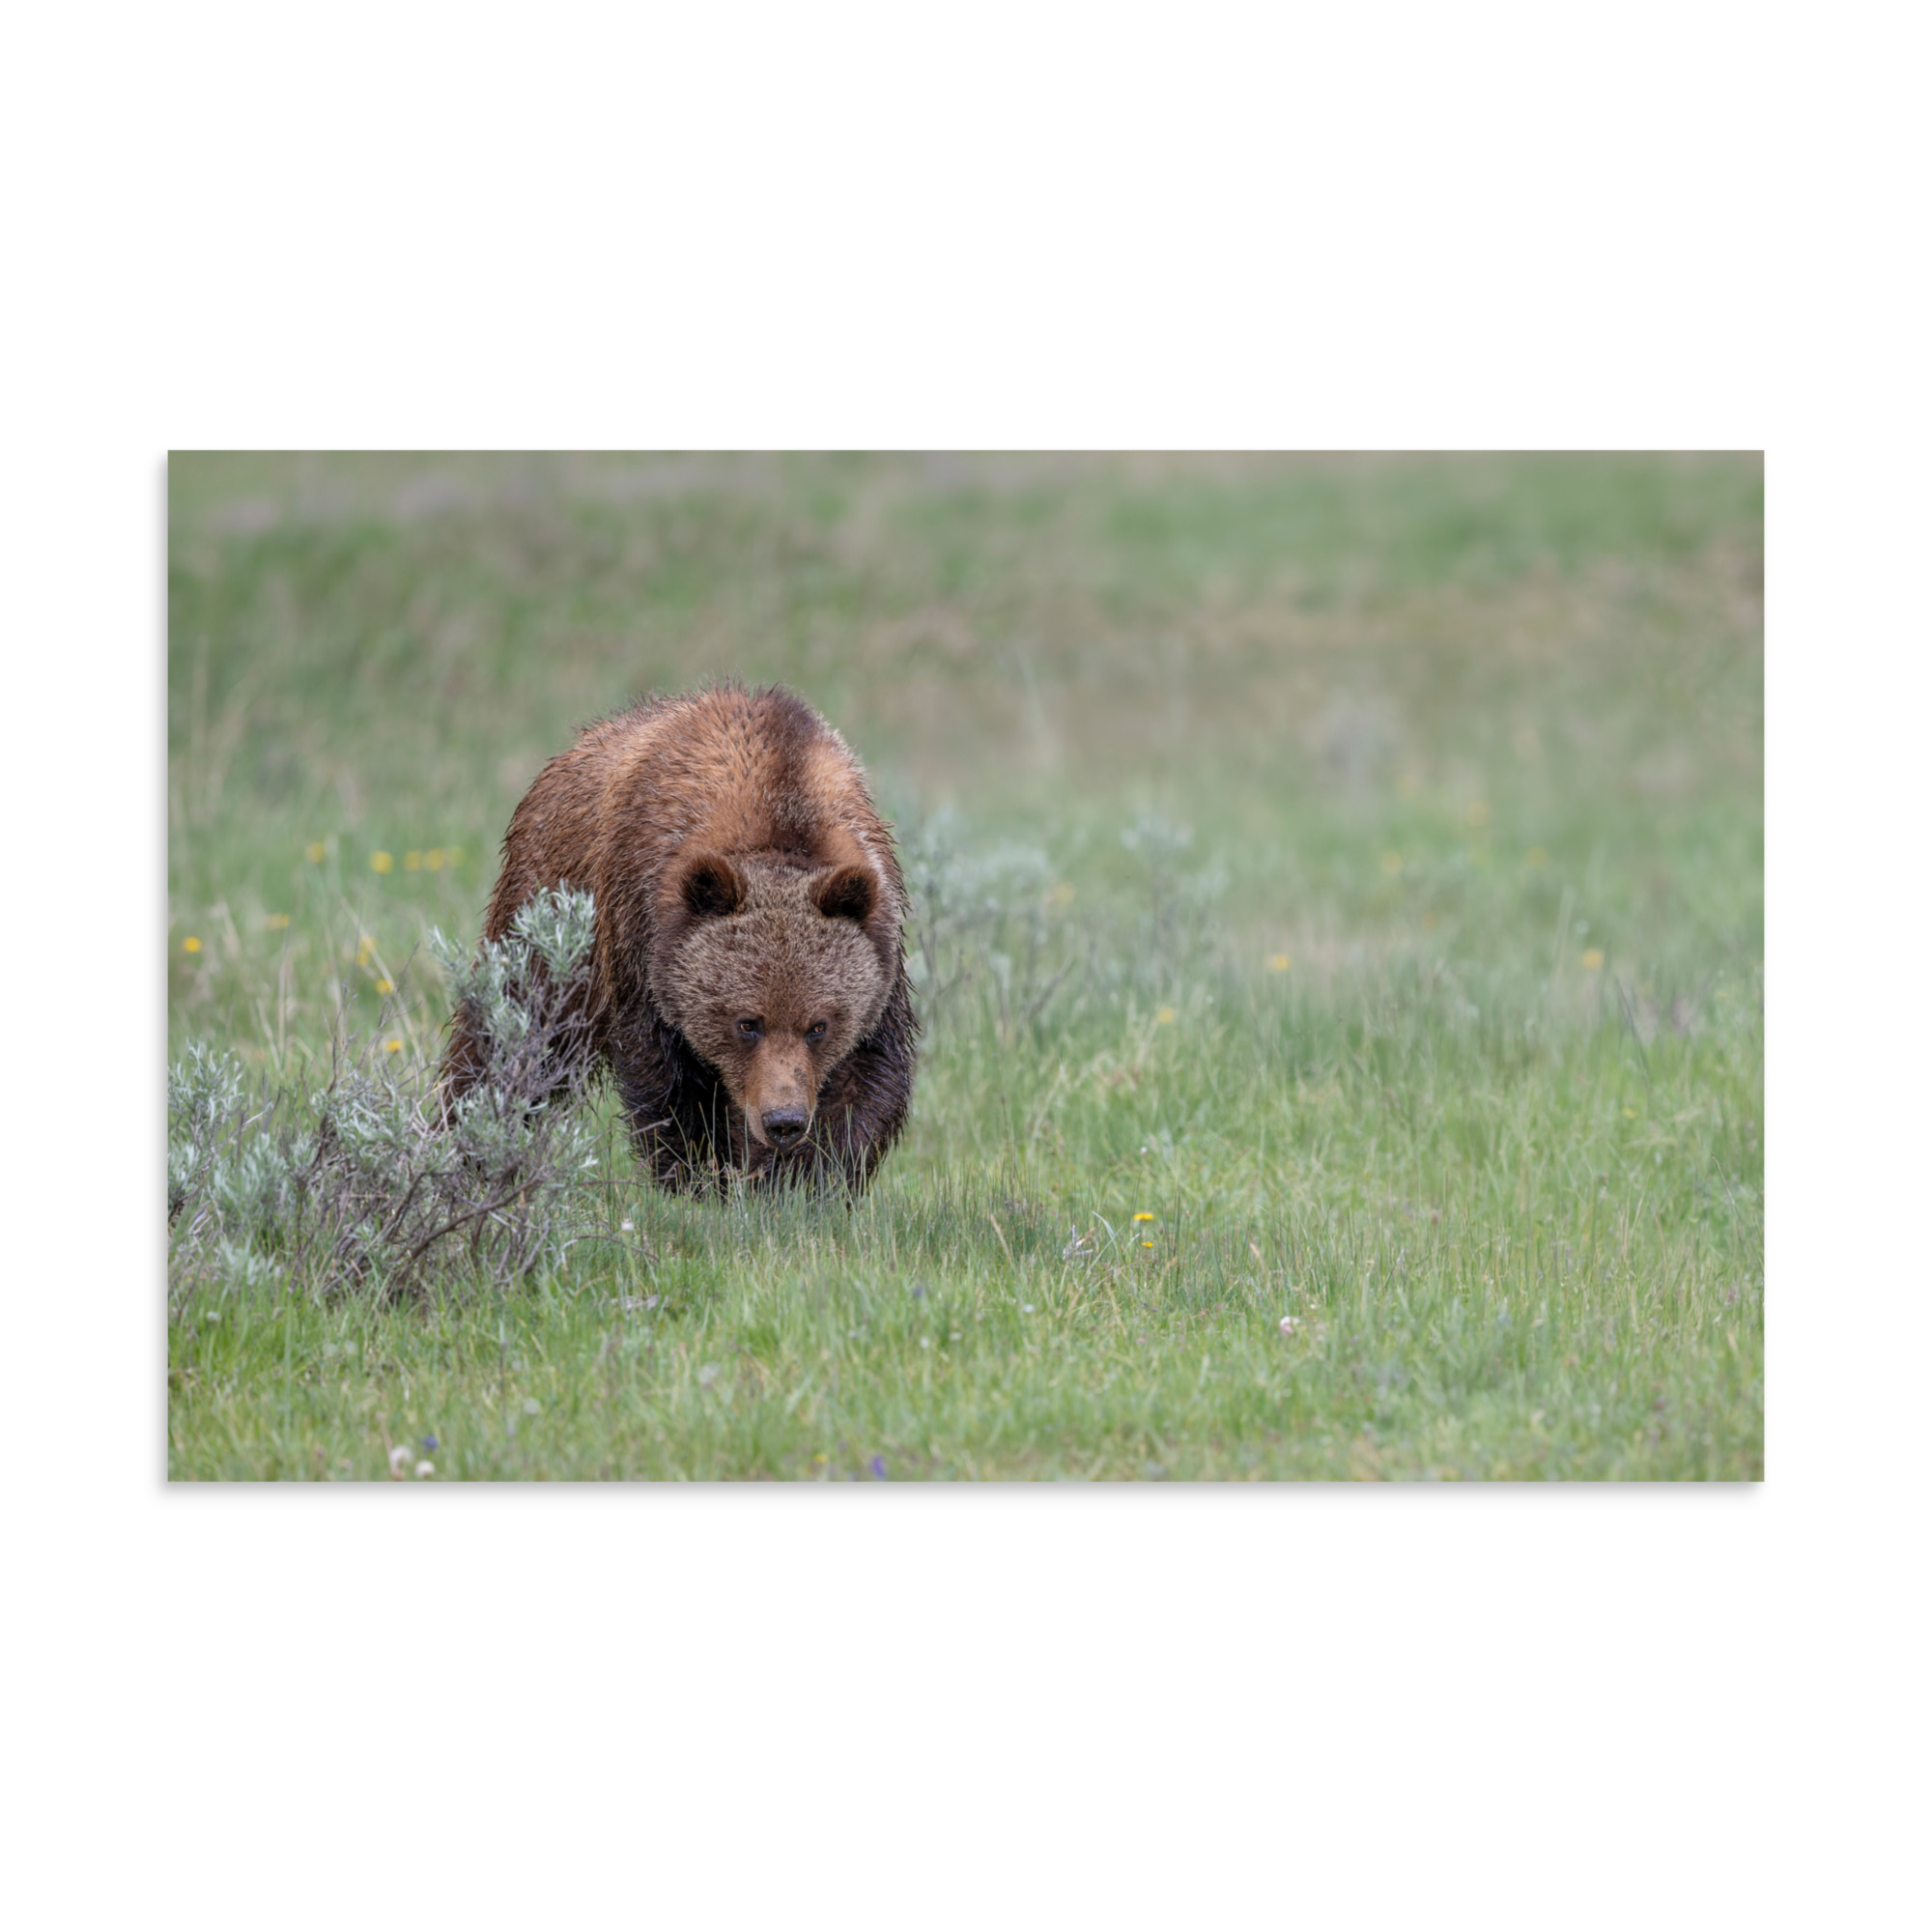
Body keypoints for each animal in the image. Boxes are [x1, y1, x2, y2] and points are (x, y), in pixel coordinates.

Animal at [440, 682, 919, 1193]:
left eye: (819, 1026)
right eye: (747, 1023)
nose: (783, 1121)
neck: (780, 808)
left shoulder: (880, 952)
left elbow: (865, 1081)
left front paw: (802, 1182)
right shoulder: (642, 938)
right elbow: (668, 1084)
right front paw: (698, 1178)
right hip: (549, 915)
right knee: (513, 1032)